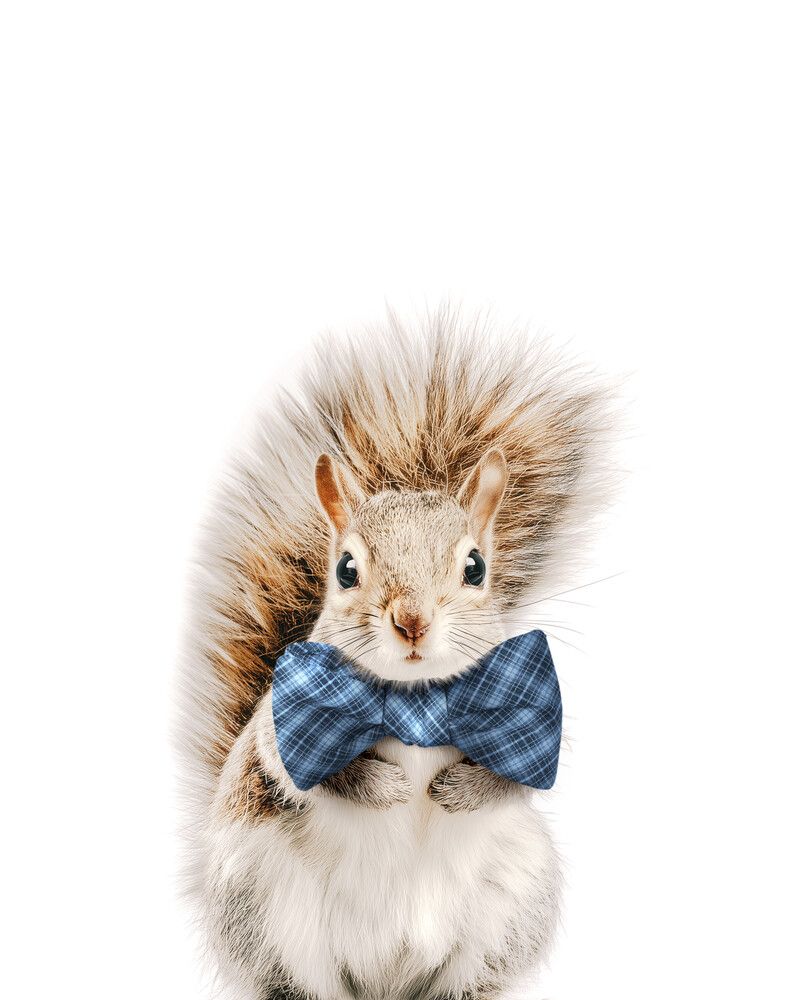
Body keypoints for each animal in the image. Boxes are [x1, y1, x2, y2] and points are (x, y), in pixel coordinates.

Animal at [176, 310, 614, 1000]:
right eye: (346, 569)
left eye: (475, 566)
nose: (411, 620)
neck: (414, 702)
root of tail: (387, 984)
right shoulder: (279, 726)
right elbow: (305, 768)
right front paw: (383, 786)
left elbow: (514, 778)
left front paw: (456, 791)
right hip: (267, 915)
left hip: (506, 912)